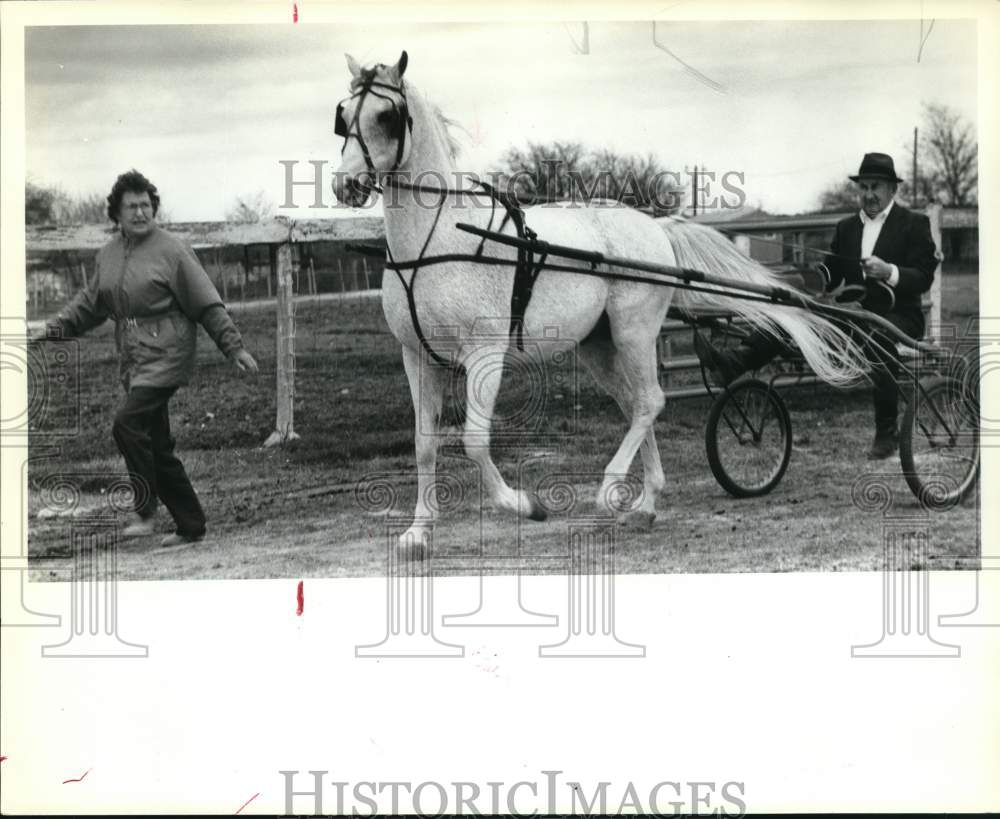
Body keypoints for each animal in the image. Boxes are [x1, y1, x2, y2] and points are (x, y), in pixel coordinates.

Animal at [332, 49, 864, 552]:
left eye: (387, 116)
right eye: (343, 114)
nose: (345, 185)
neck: (439, 239)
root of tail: (653, 226)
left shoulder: (485, 353)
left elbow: (475, 443)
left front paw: (526, 506)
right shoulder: (418, 356)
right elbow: (424, 444)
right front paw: (419, 533)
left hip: (634, 332)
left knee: (650, 401)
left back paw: (612, 491)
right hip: (598, 345)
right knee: (636, 405)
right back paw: (646, 503)